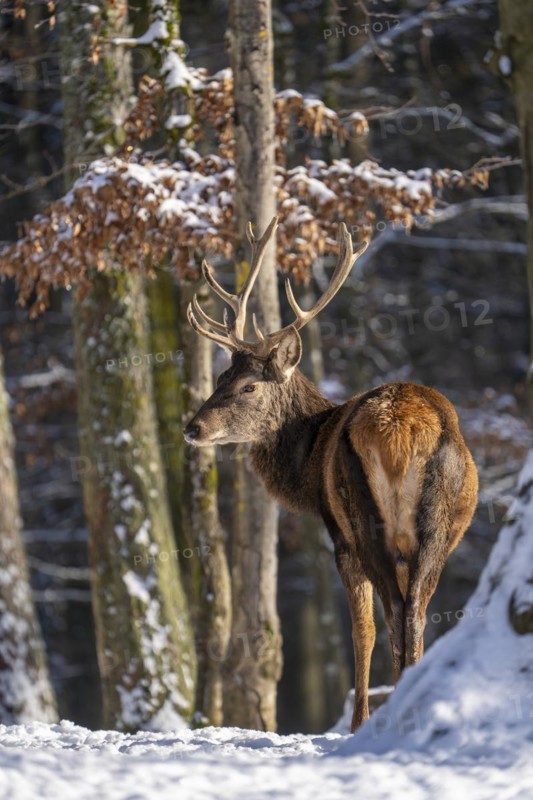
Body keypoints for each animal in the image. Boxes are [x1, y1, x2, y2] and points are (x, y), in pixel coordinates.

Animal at [183, 216, 478, 732]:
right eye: (219, 379)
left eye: (248, 386)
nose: (192, 428)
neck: (308, 458)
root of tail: (402, 428)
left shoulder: (337, 534)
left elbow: (362, 629)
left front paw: (357, 722)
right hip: (439, 529)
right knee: (417, 612)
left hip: (361, 518)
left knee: (392, 614)